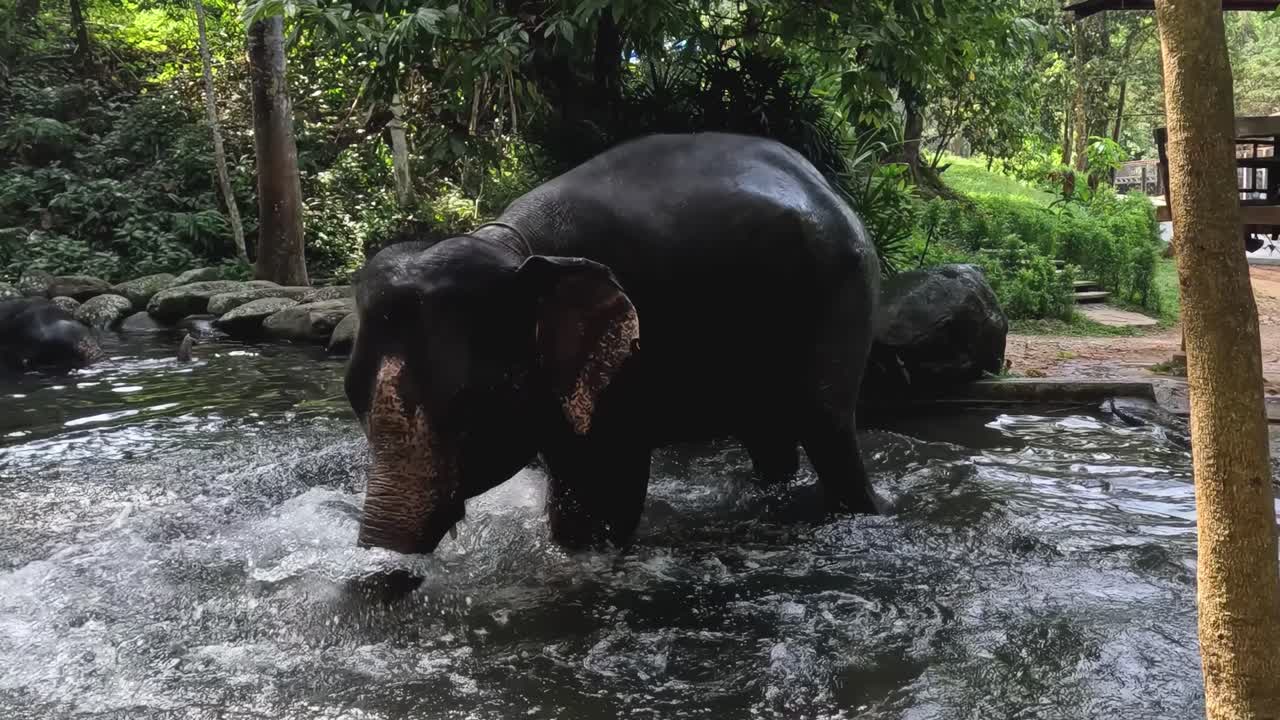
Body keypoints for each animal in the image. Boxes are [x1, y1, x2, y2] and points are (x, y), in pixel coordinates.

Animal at [345, 132, 886, 557]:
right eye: (351, 396)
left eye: (469, 402)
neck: (512, 247)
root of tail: (827, 185)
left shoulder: (637, 356)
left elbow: (608, 483)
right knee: (768, 434)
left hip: (842, 295)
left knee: (826, 425)